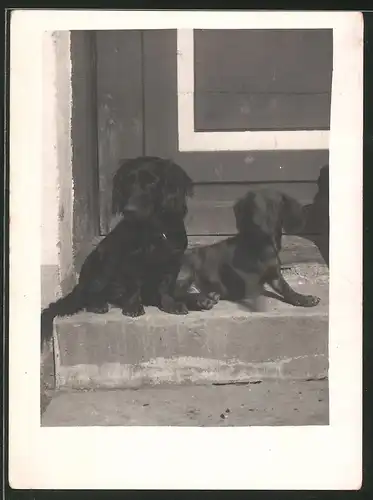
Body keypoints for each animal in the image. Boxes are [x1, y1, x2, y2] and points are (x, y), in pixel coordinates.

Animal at [41, 156, 196, 344]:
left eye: (152, 181)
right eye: (128, 182)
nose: (129, 210)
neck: (153, 229)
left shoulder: (172, 261)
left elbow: (166, 287)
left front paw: (170, 305)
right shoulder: (128, 261)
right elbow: (133, 286)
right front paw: (133, 307)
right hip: (101, 263)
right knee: (91, 294)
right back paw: (98, 305)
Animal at [174, 188, 320, 308]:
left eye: (271, 205)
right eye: (252, 205)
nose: (258, 223)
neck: (261, 245)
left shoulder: (274, 275)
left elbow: (287, 289)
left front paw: (304, 299)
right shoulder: (246, 283)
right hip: (187, 268)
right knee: (177, 293)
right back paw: (201, 299)